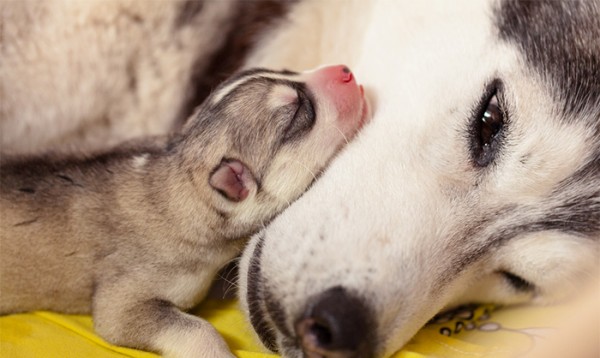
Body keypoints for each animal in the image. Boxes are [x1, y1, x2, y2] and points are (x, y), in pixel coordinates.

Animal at [0, 65, 368, 356]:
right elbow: (187, 327)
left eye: (288, 69)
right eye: (297, 113)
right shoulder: (125, 295)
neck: (180, 173)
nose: (345, 70)